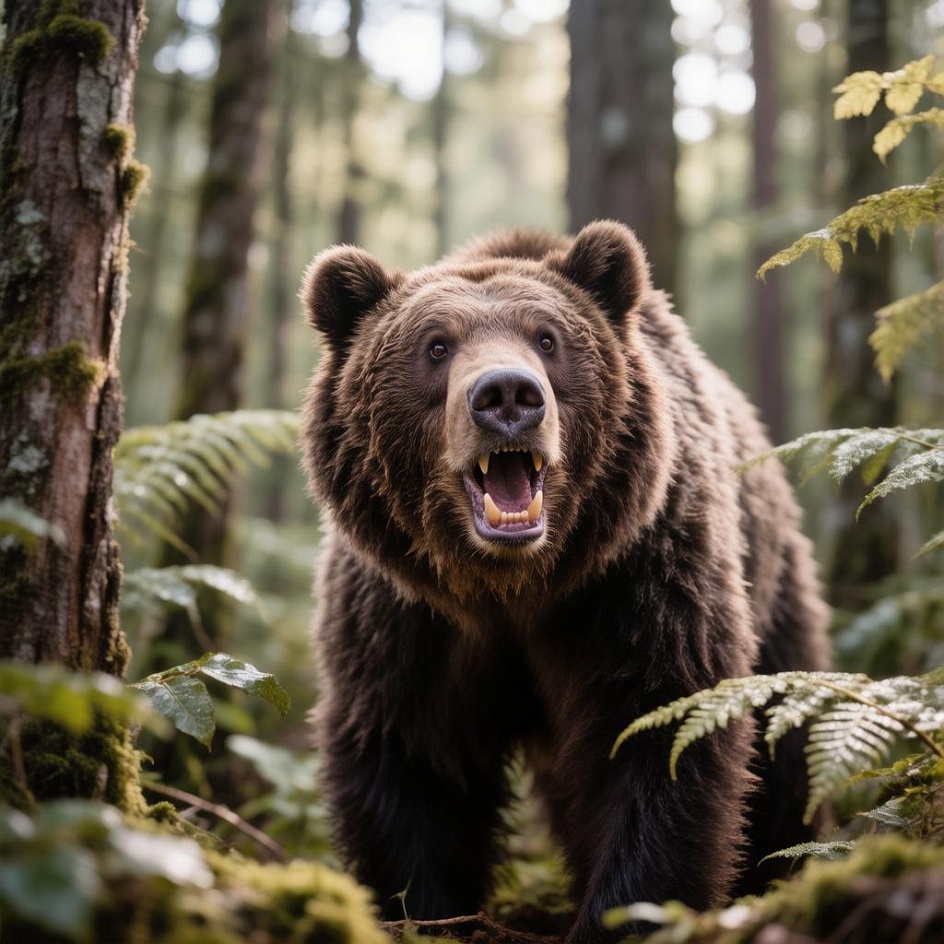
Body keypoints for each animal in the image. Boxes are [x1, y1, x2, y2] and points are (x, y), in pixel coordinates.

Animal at [300, 221, 830, 943]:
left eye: (547, 338)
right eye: (436, 345)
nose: (506, 396)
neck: (513, 586)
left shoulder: (638, 584)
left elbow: (656, 734)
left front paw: (623, 913)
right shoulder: (404, 621)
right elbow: (407, 758)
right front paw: (428, 912)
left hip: (772, 590)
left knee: (784, 754)